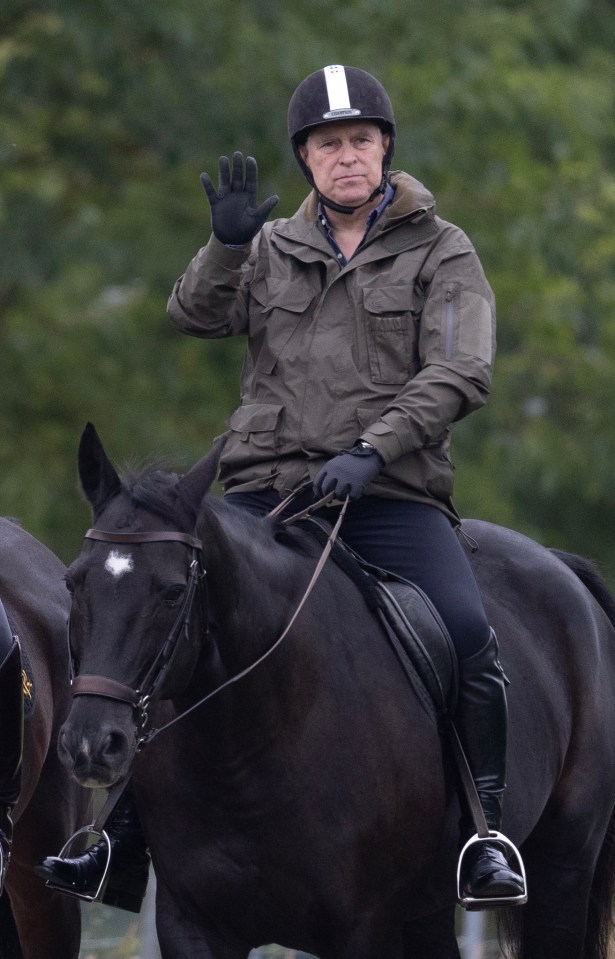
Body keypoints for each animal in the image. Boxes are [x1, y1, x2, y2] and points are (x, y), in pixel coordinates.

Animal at [55, 424, 615, 956]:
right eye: (72, 582)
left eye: (172, 592)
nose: (90, 744)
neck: (248, 748)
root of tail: (563, 567)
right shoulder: (191, 928)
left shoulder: (363, 929)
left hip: (563, 869)